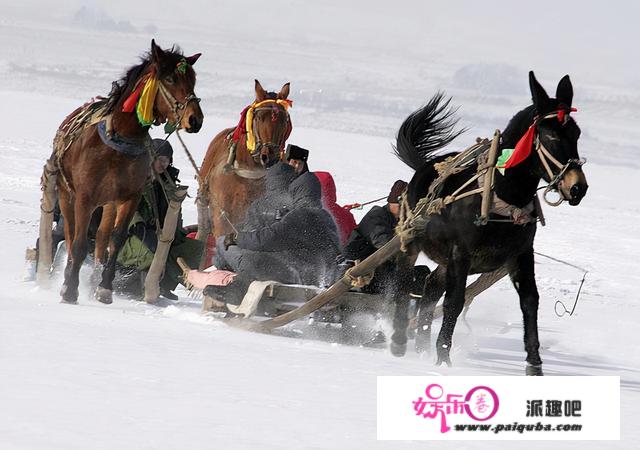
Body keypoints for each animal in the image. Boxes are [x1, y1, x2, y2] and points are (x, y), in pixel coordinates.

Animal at [57, 40, 204, 304]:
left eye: (193, 79)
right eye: (170, 79)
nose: (195, 119)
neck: (117, 145)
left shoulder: (129, 197)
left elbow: (116, 240)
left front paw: (104, 288)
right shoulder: (84, 198)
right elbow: (80, 243)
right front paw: (71, 289)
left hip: (108, 203)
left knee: (102, 237)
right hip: (67, 194)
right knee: (71, 234)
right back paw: (67, 277)